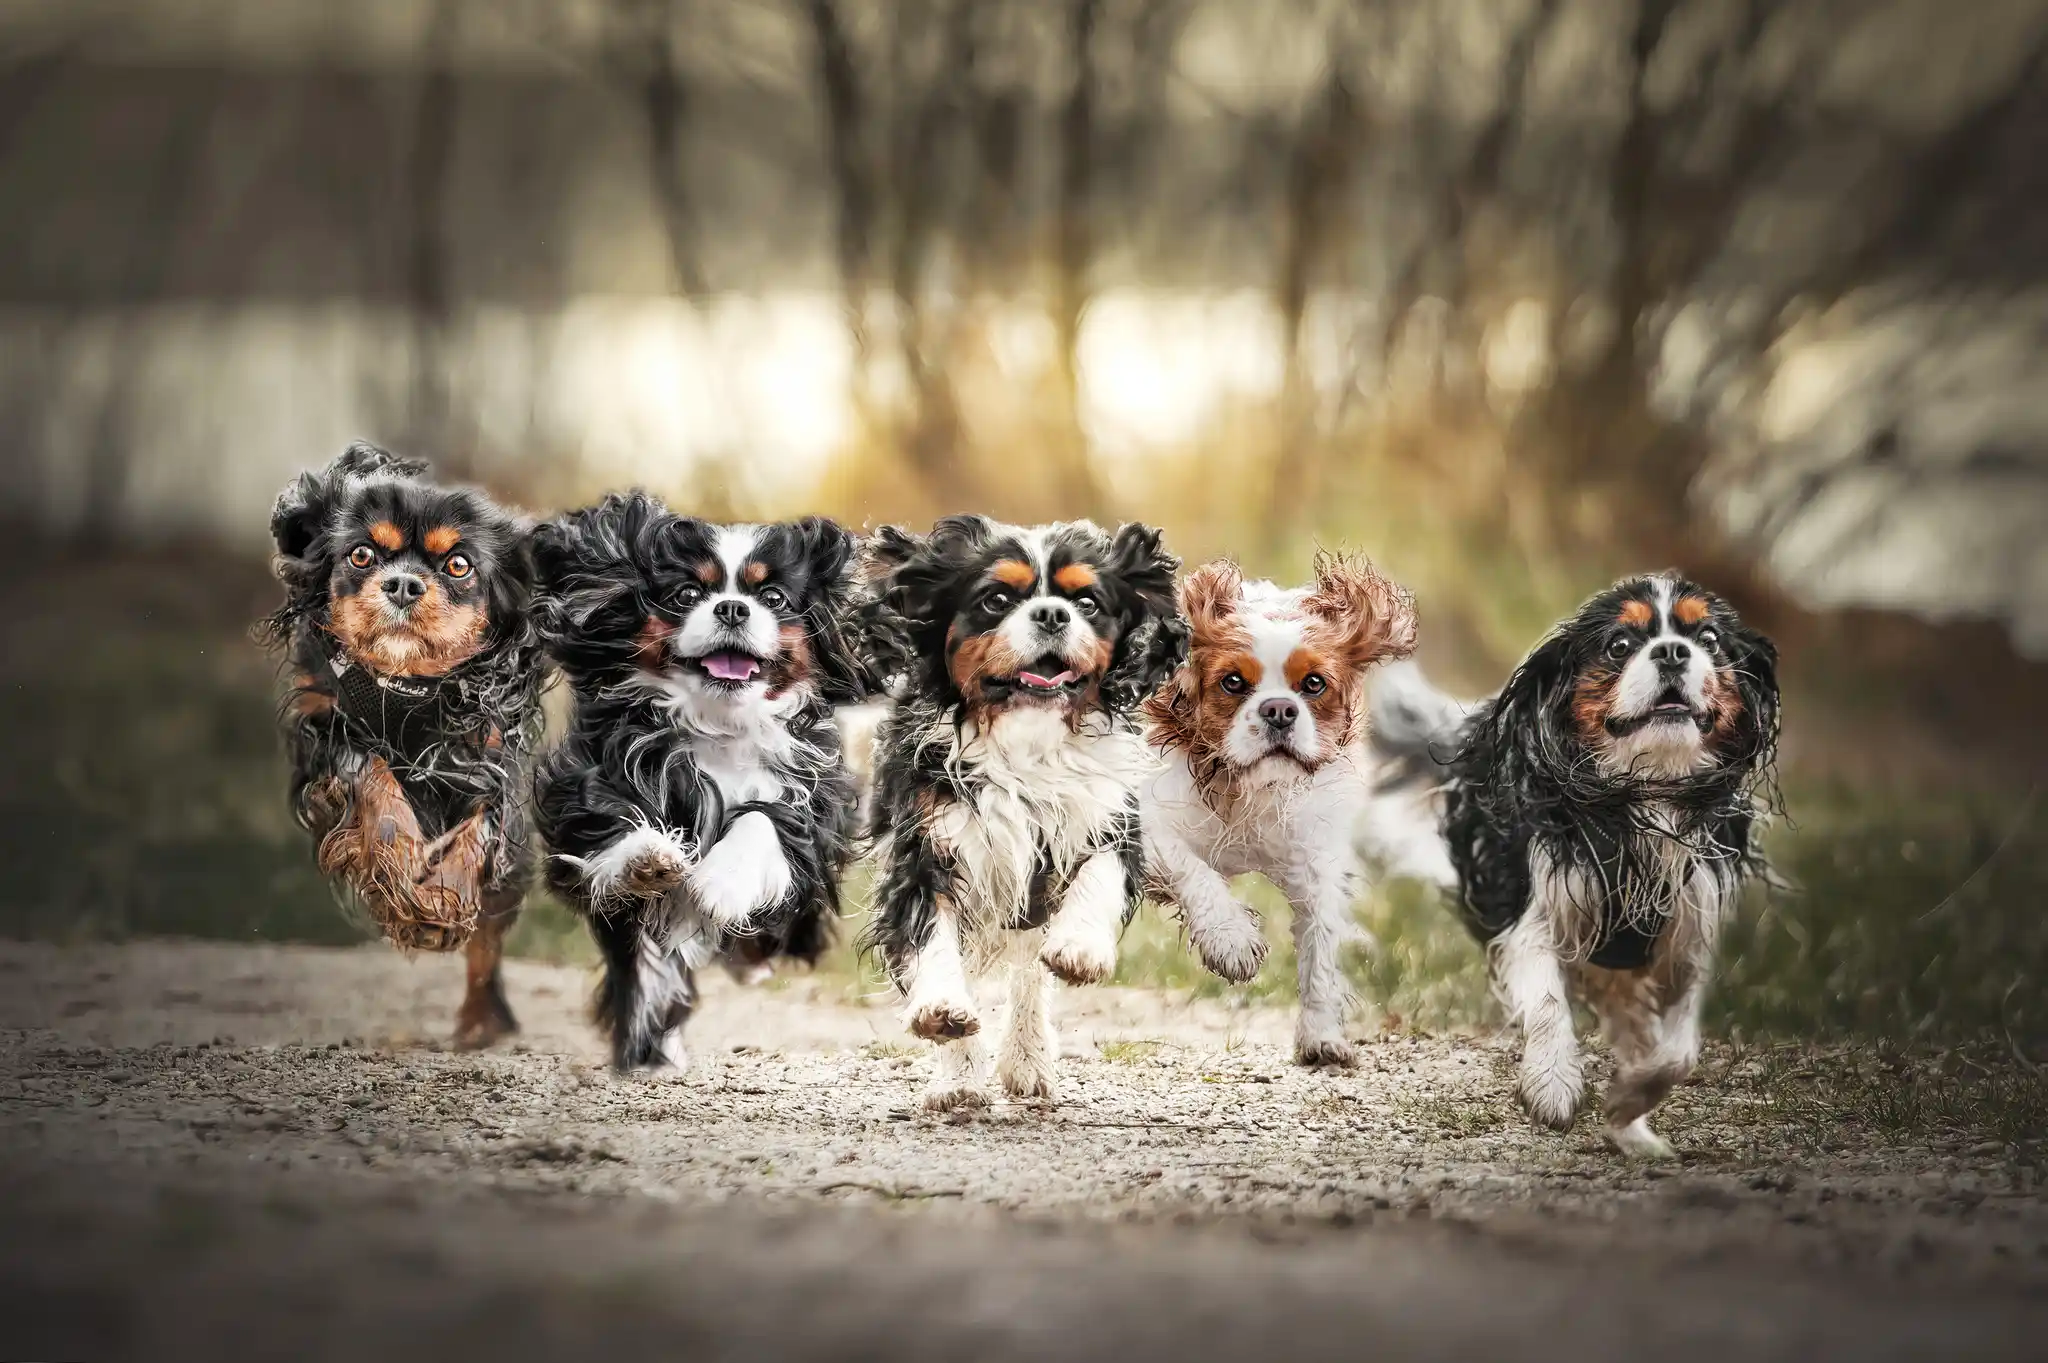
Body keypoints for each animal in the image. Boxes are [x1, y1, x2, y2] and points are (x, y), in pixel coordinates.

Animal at [536, 491, 864, 1072]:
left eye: (773, 597)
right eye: (687, 593)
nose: (732, 607)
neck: (720, 728)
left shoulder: (811, 805)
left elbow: (762, 821)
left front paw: (718, 884)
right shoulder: (595, 775)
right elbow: (613, 821)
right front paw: (646, 862)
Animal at [860, 515, 1187, 1113]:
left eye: (1087, 601)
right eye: (996, 599)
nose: (1052, 614)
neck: (1025, 738)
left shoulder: (1106, 818)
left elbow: (1098, 877)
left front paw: (1081, 946)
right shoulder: (922, 848)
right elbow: (931, 934)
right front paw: (942, 1013)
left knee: (1029, 969)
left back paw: (1027, 1059)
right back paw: (962, 1077)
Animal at [1138, 552, 1425, 1064]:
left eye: (1313, 684)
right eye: (1233, 682)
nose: (1278, 710)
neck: (1250, 787)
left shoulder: (1316, 860)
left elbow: (1320, 952)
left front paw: (1321, 1036)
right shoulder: (1142, 818)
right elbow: (1193, 870)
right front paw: (1230, 940)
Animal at [1441, 568, 1777, 1154]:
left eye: (1709, 639)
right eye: (1619, 645)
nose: (1673, 651)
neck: (1648, 789)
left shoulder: (1689, 929)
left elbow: (1678, 1048)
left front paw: (1629, 1101)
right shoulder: (1534, 911)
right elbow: (1547, 1001)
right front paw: (1552, 1085)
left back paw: (1633, 1132)